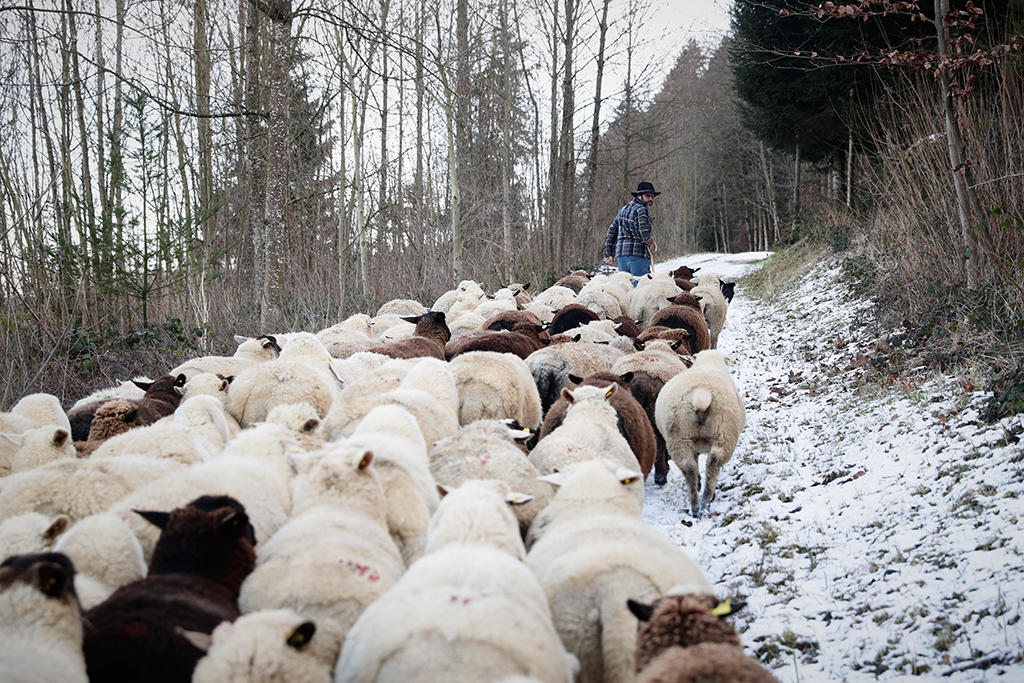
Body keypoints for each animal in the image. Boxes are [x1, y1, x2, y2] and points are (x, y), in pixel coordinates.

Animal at [655, 352, 745, 518]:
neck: (709, 362)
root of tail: (701, 396)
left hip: (680, 439)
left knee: (689, 469)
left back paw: (696, 508)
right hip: (723, 437)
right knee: (712, 465)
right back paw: (706, 503)